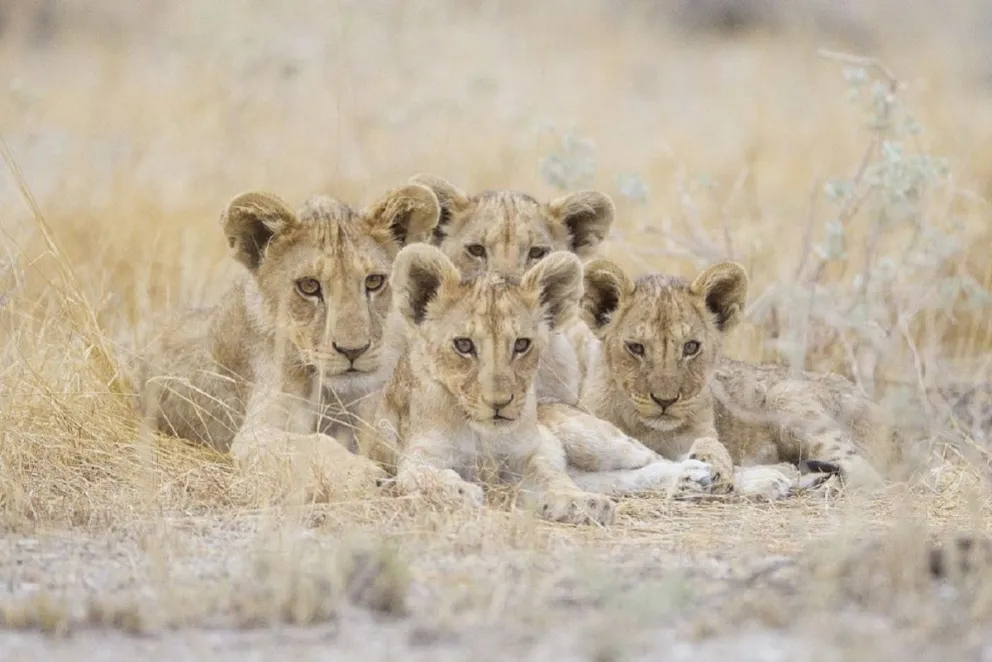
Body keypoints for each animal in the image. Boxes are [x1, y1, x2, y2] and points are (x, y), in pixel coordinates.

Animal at [134, 184, 441, 490]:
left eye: (374, 281)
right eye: (309, 286)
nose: (353, 350)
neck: (333, 395)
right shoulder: (255, 435)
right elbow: (313, 444)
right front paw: (362, 474)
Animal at [354, 244, 716, 524]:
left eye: (521, 344)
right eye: (464, 345)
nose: (499, 403)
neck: (481, 432)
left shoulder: (533, 451)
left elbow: (552, 477)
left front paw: (581, 504)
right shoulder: (418, 457)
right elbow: (423, 478)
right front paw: (460, 492)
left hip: (591, 436)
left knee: (652, 459)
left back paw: (698, 473)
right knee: (622, 477)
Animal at [570, 257, 889, 494]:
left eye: (691, 347)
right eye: (636, 347)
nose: (665, 401)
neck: (649, 428)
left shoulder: (700, 433)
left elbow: (709, 448)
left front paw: (715, 468)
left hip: (786, 396)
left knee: (863, 471)